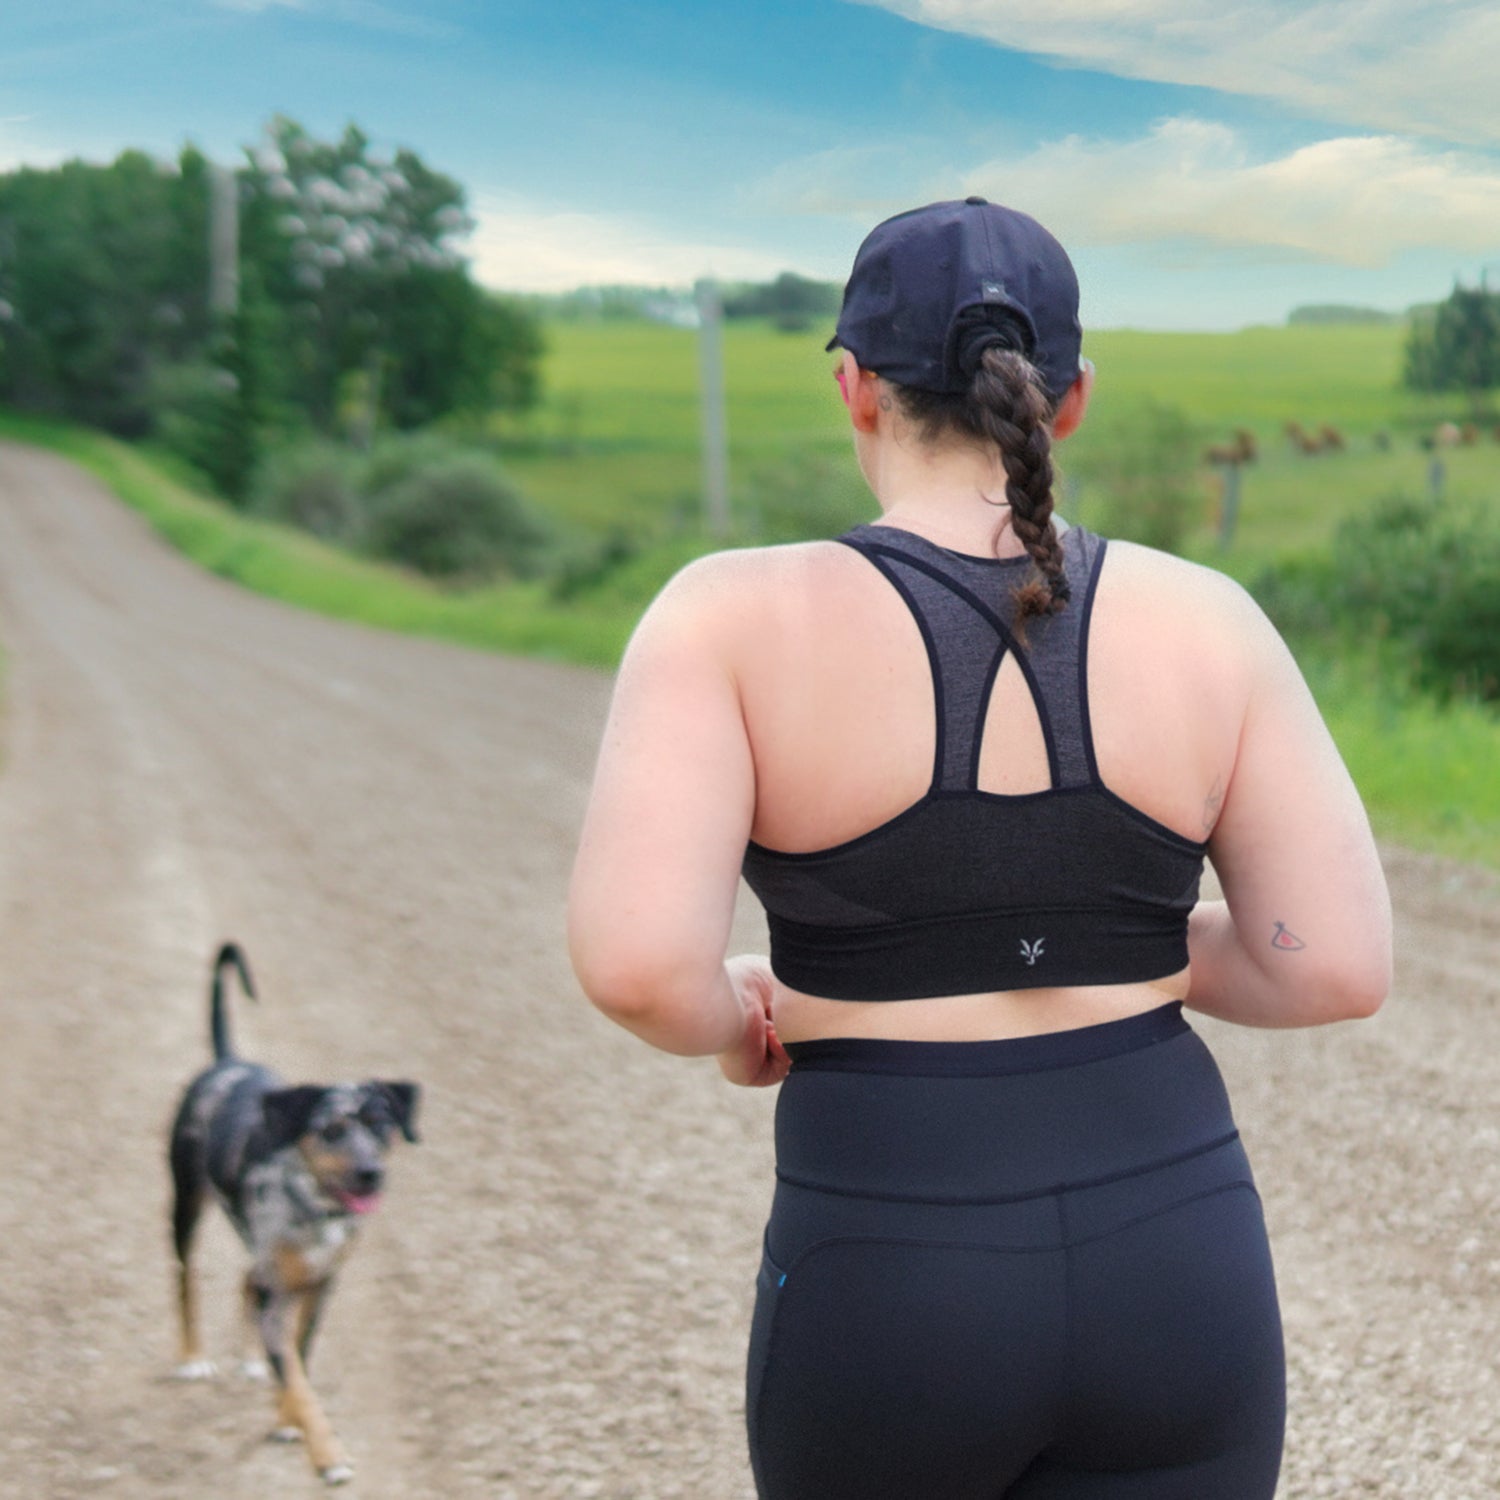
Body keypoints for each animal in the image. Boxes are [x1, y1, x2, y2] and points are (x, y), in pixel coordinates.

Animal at [167, 942, 420, 1482]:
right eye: (330, 1129)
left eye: (381, 1124)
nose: (371, 1173)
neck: (315, 1210)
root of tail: (229, 1061)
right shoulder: (277, 1294)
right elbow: (300, 1382)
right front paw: (328, 1455)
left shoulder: (320, 1286)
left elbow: (298, 1360)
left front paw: (287, 1421)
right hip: (185, 1203)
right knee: (185, 1276)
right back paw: (192, 1356)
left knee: (245, 1280)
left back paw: (248, 1361)